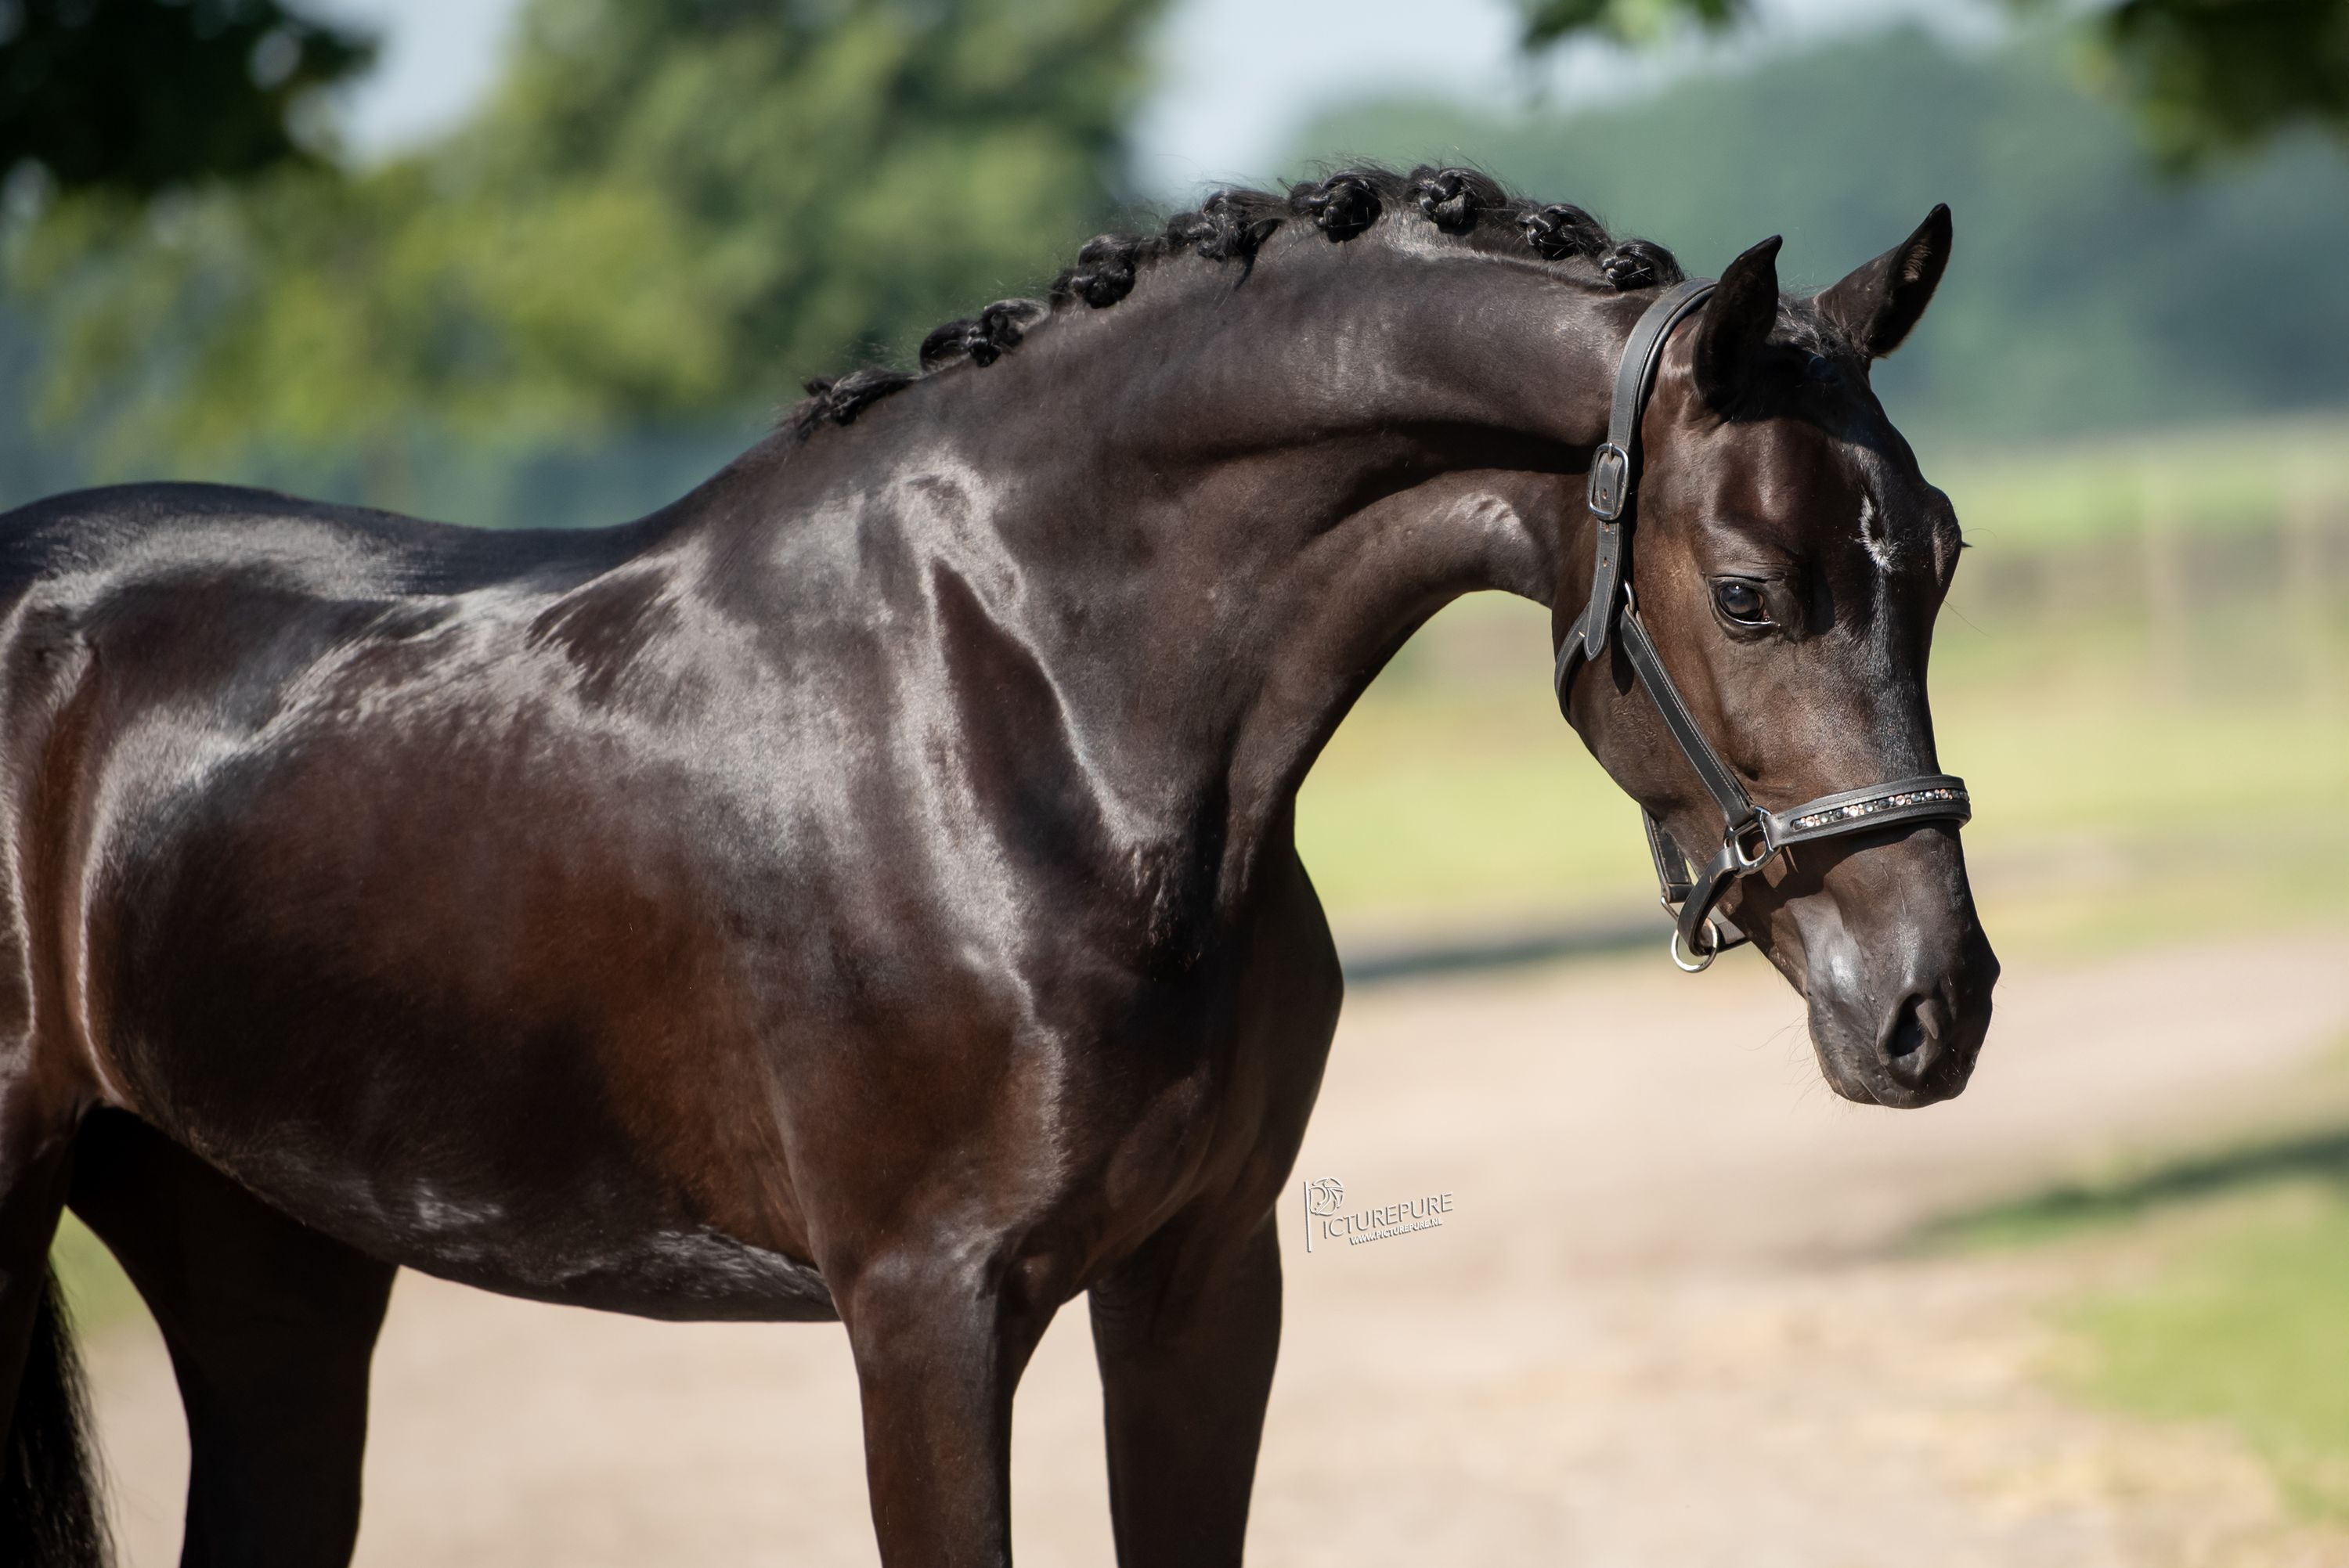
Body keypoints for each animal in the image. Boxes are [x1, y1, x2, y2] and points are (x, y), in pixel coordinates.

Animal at [0, 165, 1996, 1567]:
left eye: (1942, 553)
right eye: (1748, 590)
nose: (1934, 1004)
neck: (1034, 706)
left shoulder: (1202, 1275)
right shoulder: (925, 1314)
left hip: (273, 1271)